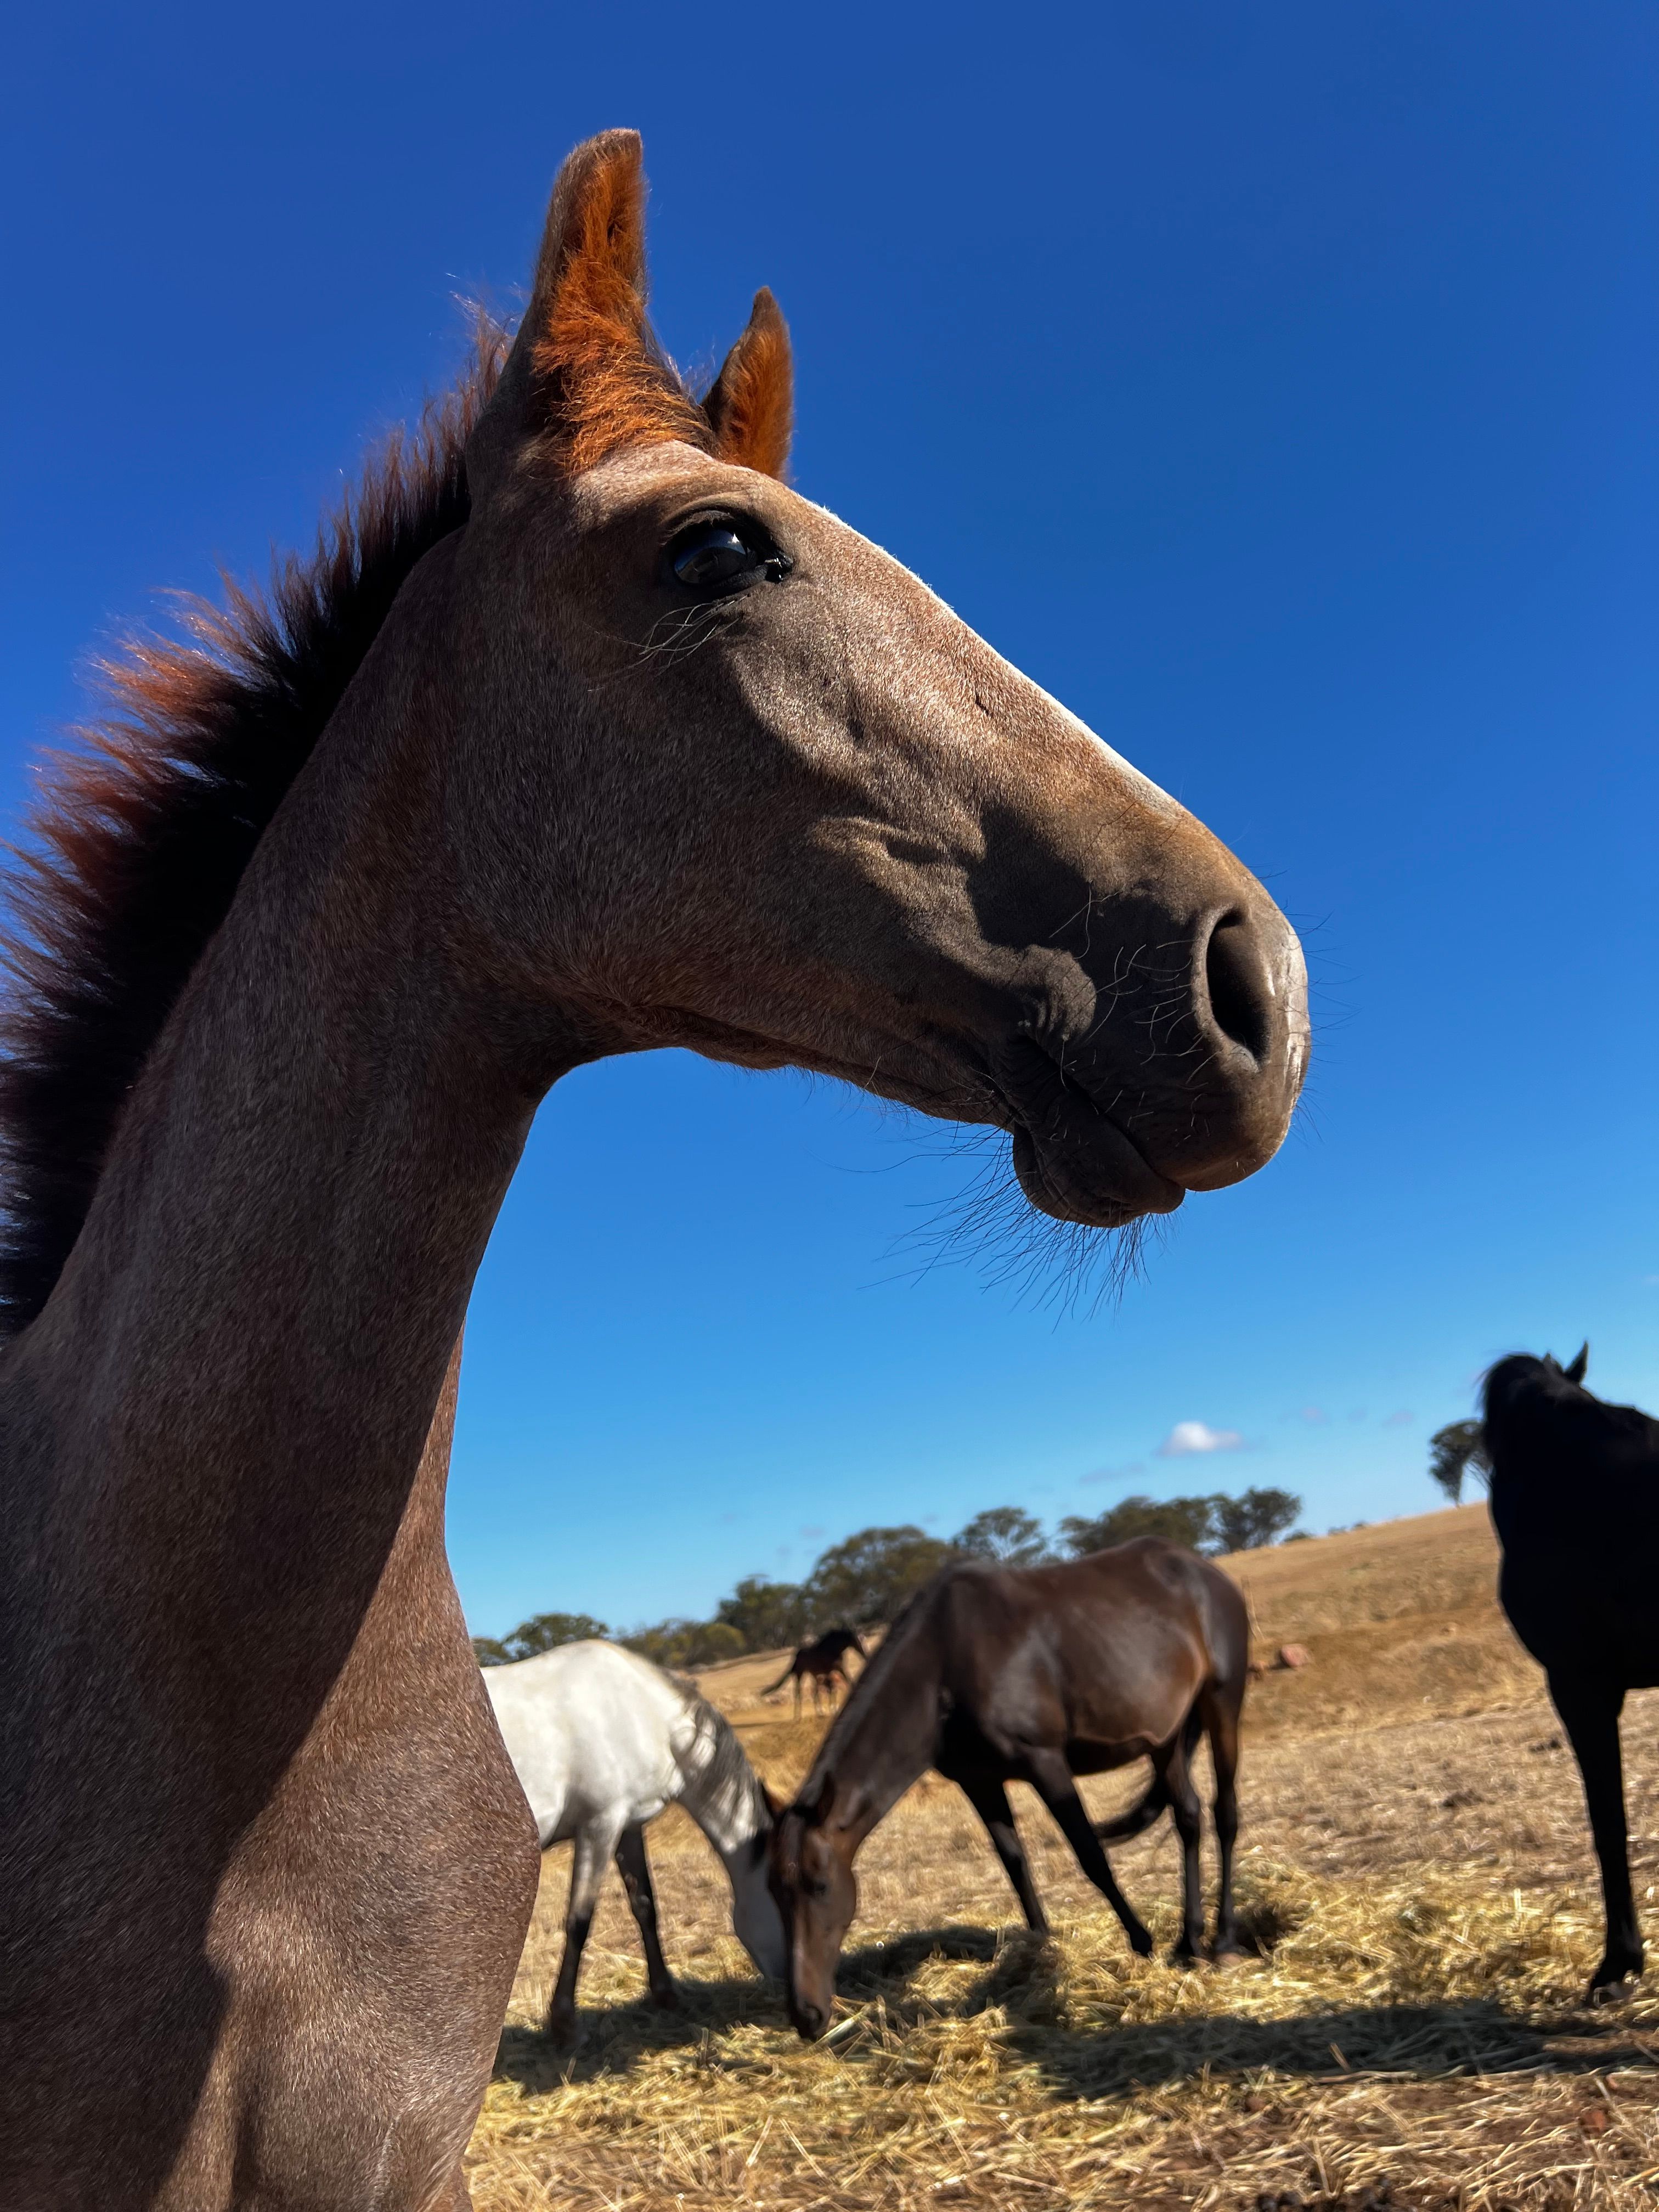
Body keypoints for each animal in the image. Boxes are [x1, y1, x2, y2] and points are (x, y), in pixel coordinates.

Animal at [483, 1640, 784, 2037]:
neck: (641, 1712)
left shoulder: (628, 1826)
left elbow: (645, 1907)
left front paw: (665, 1994)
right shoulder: (600, 1825)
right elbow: (579, 1921)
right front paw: (564, 2022)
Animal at [766, 1626, 867, 1715]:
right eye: (856, 1640)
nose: (863, 1654)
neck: (831, 1650)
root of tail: (796, 1656)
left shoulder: (838, 1669)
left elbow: (846, 1681)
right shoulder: (830, 1672)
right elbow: (833, 1689)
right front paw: (834, 1709)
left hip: (813, 1674)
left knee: (814, 1691)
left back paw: (819, 1712)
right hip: (800, 1674)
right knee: (798, 1692)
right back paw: (798, 1716)